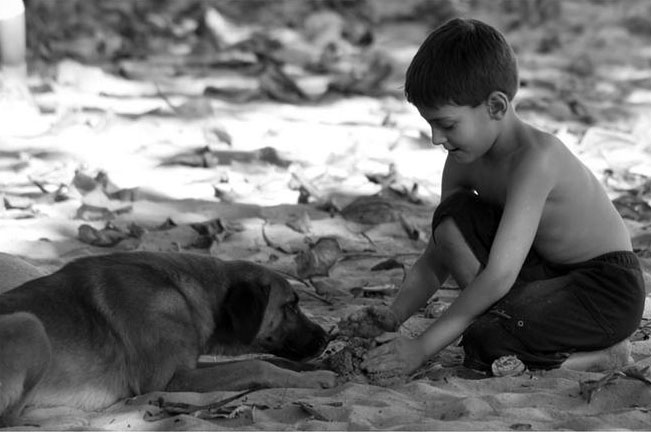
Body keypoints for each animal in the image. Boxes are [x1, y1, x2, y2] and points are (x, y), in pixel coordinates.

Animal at [0, 250, 336, 426]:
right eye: (290, 306)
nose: (326, 338)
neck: (189, 293)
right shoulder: (169, 380)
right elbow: (256, 365)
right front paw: (316, 379)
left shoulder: (188, 367)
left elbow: (266, 360)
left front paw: (313, 370)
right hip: (30, 324)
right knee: (10, 417)